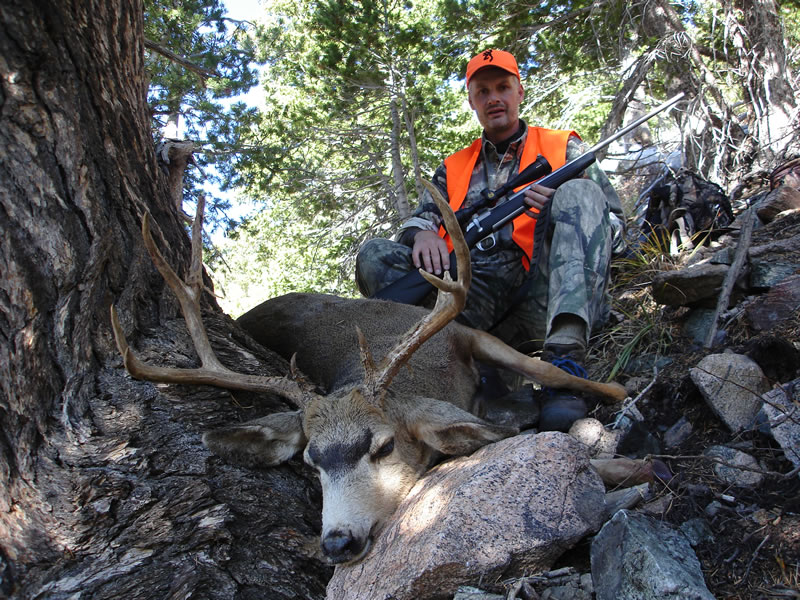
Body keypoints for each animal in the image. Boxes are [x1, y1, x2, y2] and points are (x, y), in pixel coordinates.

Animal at [111, 183, 628, 565]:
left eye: (383, 446)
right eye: (311, 461)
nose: (337, 542)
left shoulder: (466, 332)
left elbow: (546, 369)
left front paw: (617, 390)